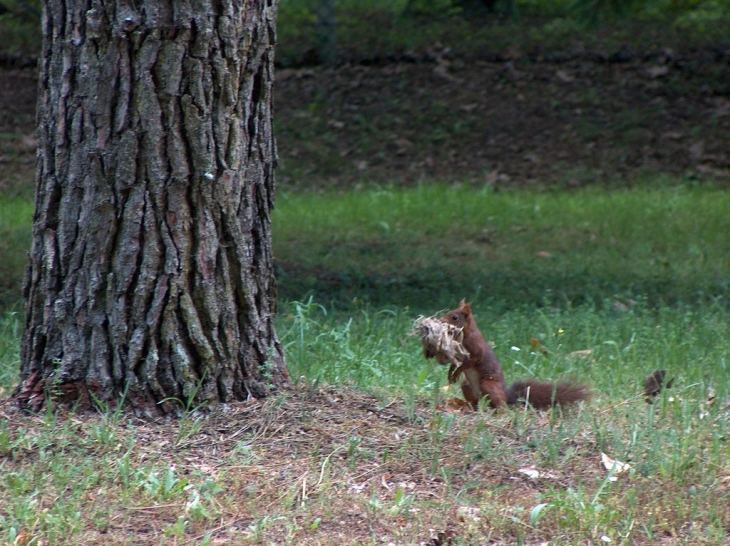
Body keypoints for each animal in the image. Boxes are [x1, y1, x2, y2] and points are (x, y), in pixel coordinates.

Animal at [430, 298, 588, 408]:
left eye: (454, 317)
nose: (440, 321)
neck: (464, 335)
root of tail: (507, 396)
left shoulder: (475, 349)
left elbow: (470, 362)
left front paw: (457, 373)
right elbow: (455, 363)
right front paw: (451, 374)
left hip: (488, 385)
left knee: (501, 405)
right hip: (467, 386)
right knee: (477, 402)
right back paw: (469, 407)